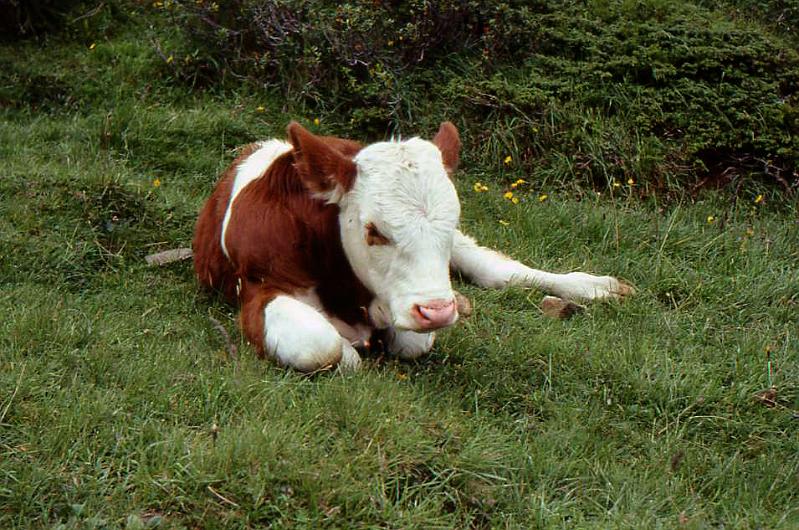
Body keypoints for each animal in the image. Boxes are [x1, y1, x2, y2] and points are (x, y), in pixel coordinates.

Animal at [194, 122, 632, 372]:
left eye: (451, 221)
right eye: (374, 231)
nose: (437, 310)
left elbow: (412, 342)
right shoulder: (257, 289)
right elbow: (324, 347)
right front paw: (352, 348)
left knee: (500, 271)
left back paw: (593, 287)